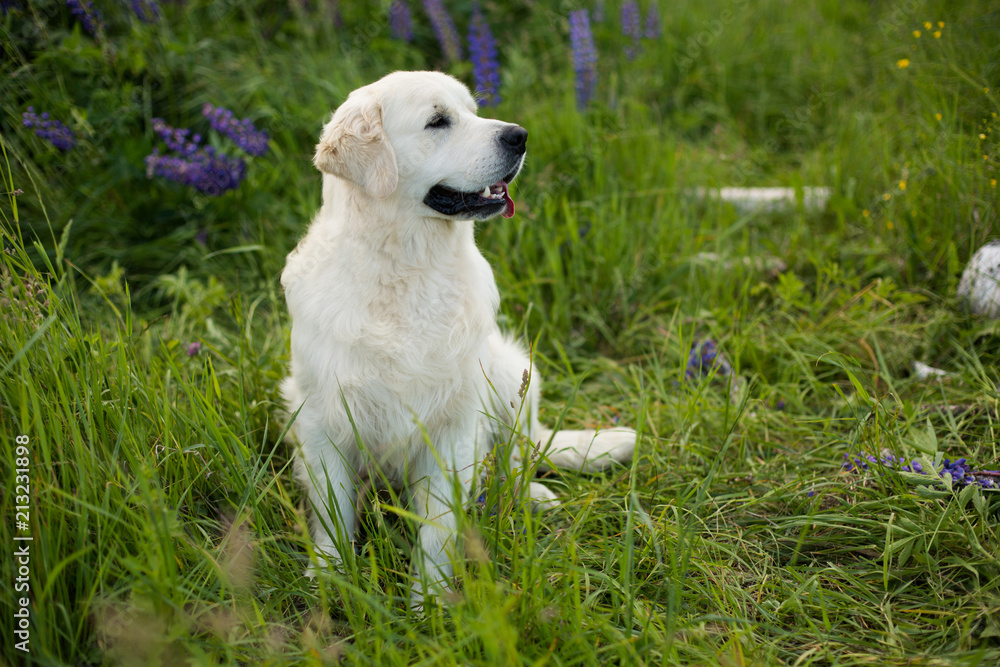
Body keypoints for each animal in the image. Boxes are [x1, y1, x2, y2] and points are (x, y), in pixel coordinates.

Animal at [278, 70, 636, 604]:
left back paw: (532, 496)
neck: (406, 271)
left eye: (472, 111)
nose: (519, 136)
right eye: (437, 121)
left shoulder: (452, 425)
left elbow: (437, 528)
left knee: (518, 458)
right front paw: (331, 578)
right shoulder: (324, 420)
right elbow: (334, 513)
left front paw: (428, 604)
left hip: (512, 375)